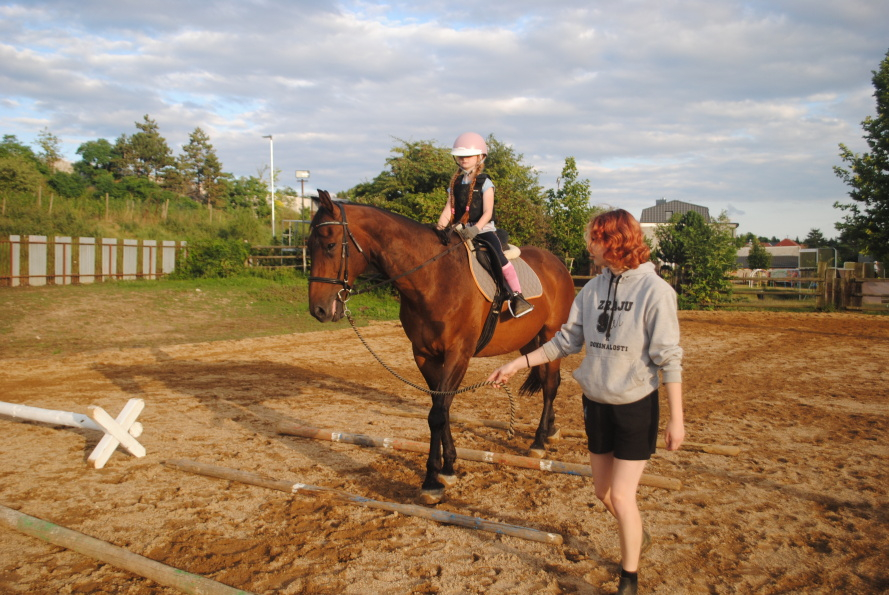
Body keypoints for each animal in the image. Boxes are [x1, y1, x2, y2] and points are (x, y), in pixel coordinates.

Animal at [307, 190, 576, 504]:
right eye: (309, 246)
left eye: (330, 244)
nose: (319, 310)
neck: (434, 278)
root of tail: (558, 264)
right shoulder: (424, 355)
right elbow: (442, 408)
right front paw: (448, 467)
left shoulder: (458, 354)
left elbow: (437, 414)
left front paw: (431, 482)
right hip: (529, 343)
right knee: (547, 379)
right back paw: (551, 430)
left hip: (551, 334)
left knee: (550, 385)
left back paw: (539, 441)